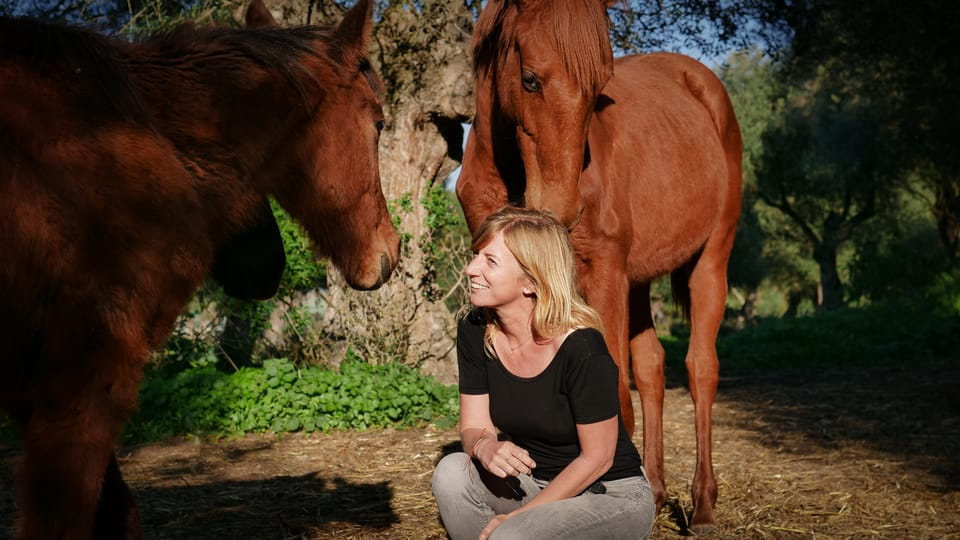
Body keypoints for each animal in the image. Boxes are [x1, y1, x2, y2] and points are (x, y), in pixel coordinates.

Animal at [456, 0, 742, 532]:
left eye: (597, 90)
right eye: (529, 79)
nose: (561, 210)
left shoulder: (603, 271)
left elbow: (615, 407)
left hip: (710, 259)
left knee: (701, 369)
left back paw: (703, 505)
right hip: (638, 282)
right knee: (651, 370)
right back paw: (656, 490)